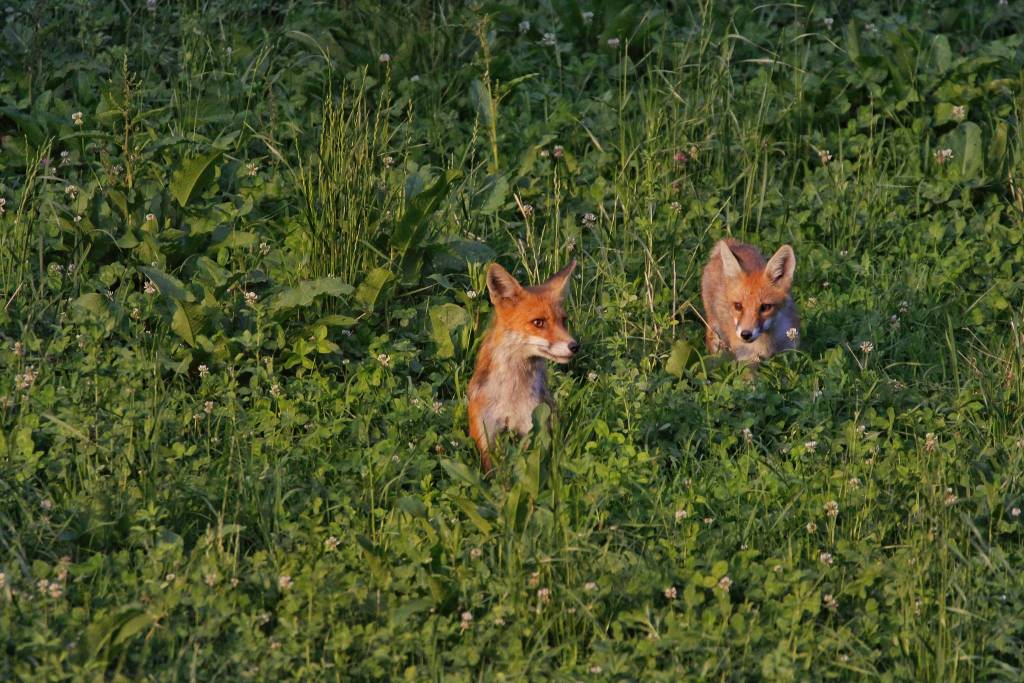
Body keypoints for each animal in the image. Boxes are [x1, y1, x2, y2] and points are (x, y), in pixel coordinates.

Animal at [468, 259, 581, 473]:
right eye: (538, 322)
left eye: (564, 321)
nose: (575, 346)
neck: (511, 397)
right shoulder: (485, 432)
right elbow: (491, 472)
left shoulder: (533, 427)